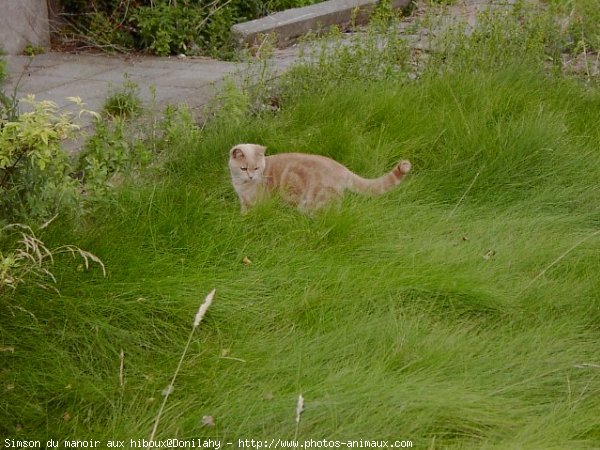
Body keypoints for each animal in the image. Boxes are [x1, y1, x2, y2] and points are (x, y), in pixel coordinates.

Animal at [227, 144, 410, 214]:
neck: (242, 186)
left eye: (256, 168)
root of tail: (341, 167)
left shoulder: (261, 202)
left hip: (317, 200)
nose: (251, 176)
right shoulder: (244, 202)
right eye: (244, 168)